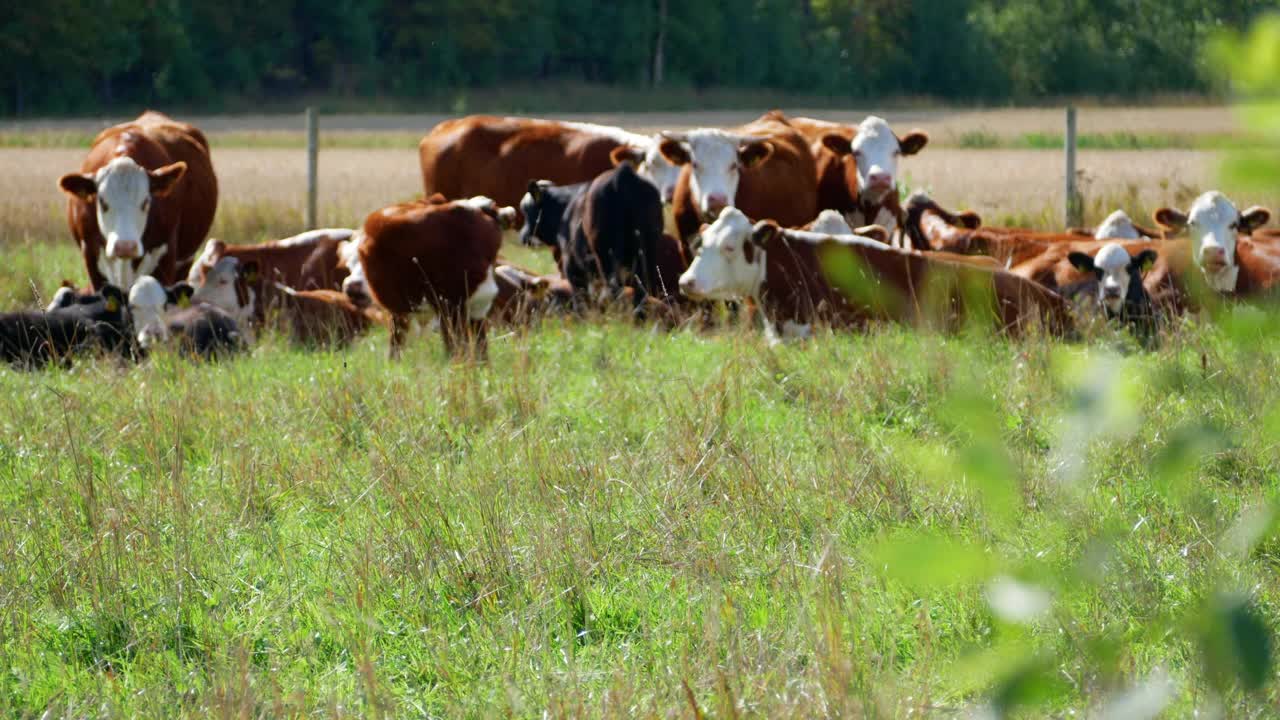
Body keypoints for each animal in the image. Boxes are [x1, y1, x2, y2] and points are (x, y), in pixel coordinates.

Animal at [56, 109, 217, 288]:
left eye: (146, 202)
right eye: (102, 202)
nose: (125, 246)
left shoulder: (165, 262)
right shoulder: (92, 260)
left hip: (185, 262)